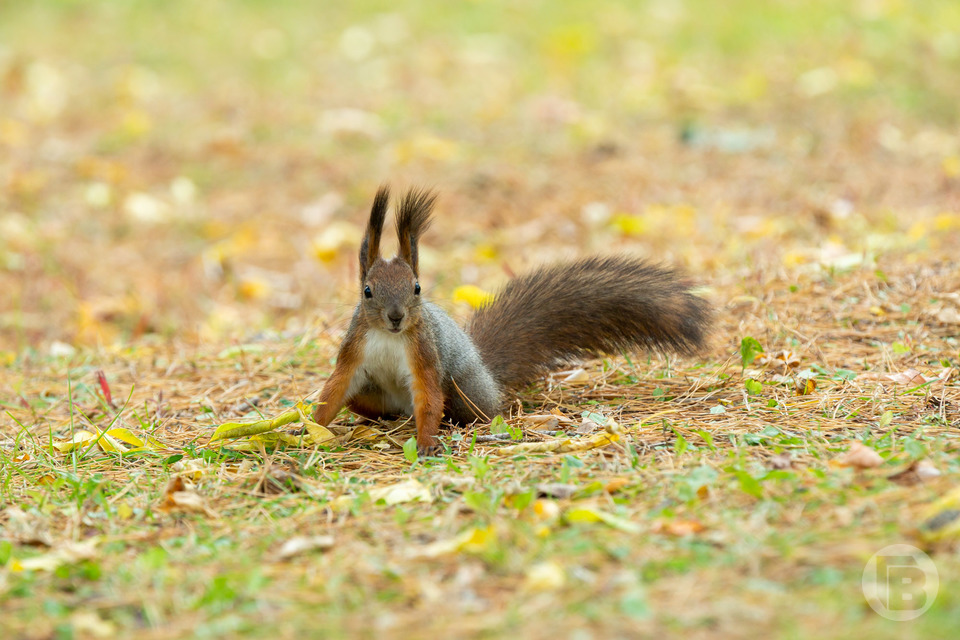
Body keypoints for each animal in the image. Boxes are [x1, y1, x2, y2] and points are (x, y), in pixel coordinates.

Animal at [312, 185, 708, 456]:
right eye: (367, 291)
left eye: (417, 287)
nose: (396, 317)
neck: (388, 336)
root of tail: (487, 372)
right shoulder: (354, 350)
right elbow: (334, 390)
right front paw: (309, 427)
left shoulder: (424, 354)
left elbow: (428, 397)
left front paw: (426, 443)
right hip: (370, 396)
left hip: (465, 390)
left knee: (464, 410)